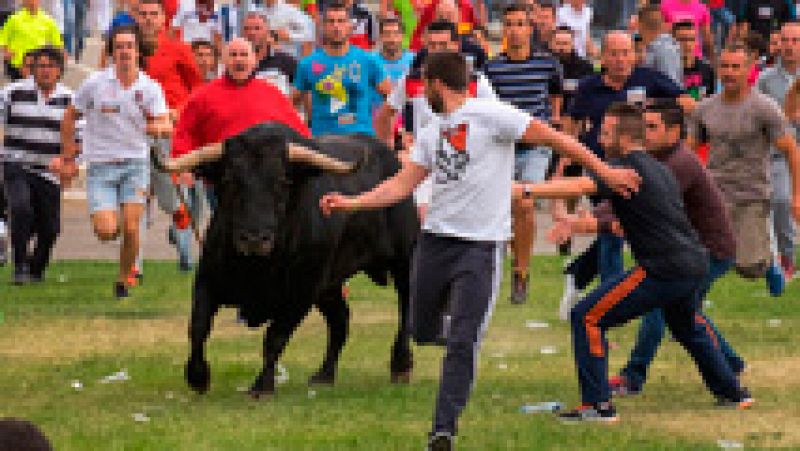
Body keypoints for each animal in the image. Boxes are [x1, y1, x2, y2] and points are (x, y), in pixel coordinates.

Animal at [180, 123, 418, 400]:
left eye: (283, 182)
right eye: (229, 181)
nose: (254, 238)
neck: (257, 267)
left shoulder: (300, 294)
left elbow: (275, 338)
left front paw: (262, 386)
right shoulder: (208, 281)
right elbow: (198, 327)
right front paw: (198, 377)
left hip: (404, 260)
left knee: (406, 307)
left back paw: (400, 364)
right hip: (328, 285)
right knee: (340, 320)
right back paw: (324, 374)